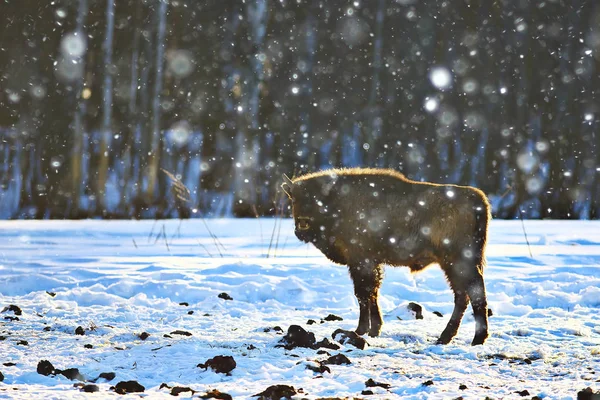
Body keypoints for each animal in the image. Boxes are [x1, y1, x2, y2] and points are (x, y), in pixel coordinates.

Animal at [284, 167, 490, 346]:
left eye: (316, 200)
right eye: (293, 199)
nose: (302, 224)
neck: (336, 201)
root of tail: (477, 199)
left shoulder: (360, 261)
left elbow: (363, 293)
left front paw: (362, 330)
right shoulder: (370, 262)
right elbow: (372, 292)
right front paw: (374, 329)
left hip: (457, 261)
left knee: (472, 293)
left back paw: (475, 339)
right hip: (455, 264)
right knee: (463, 295)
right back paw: (447, 338)